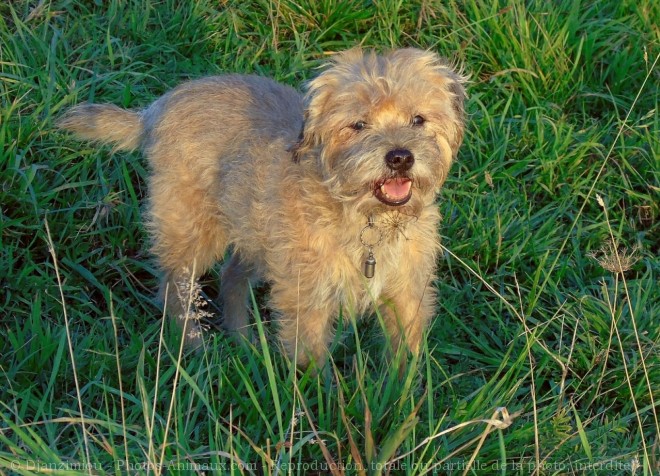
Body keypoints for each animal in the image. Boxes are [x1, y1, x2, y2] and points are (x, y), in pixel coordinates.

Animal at [59, 48, 466, 368]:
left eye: (418, 119)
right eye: (358, 124)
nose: (400, 157)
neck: (369, 221)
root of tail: (158, 107)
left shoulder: (408, 293)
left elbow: (406, 359)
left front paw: (405, 404)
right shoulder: (306, 298)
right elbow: (312, 362)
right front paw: (323, 408)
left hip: (256, 236)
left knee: (230, 278)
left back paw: (244, 343)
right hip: (193, 229)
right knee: (176, 287)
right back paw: (195, 348)